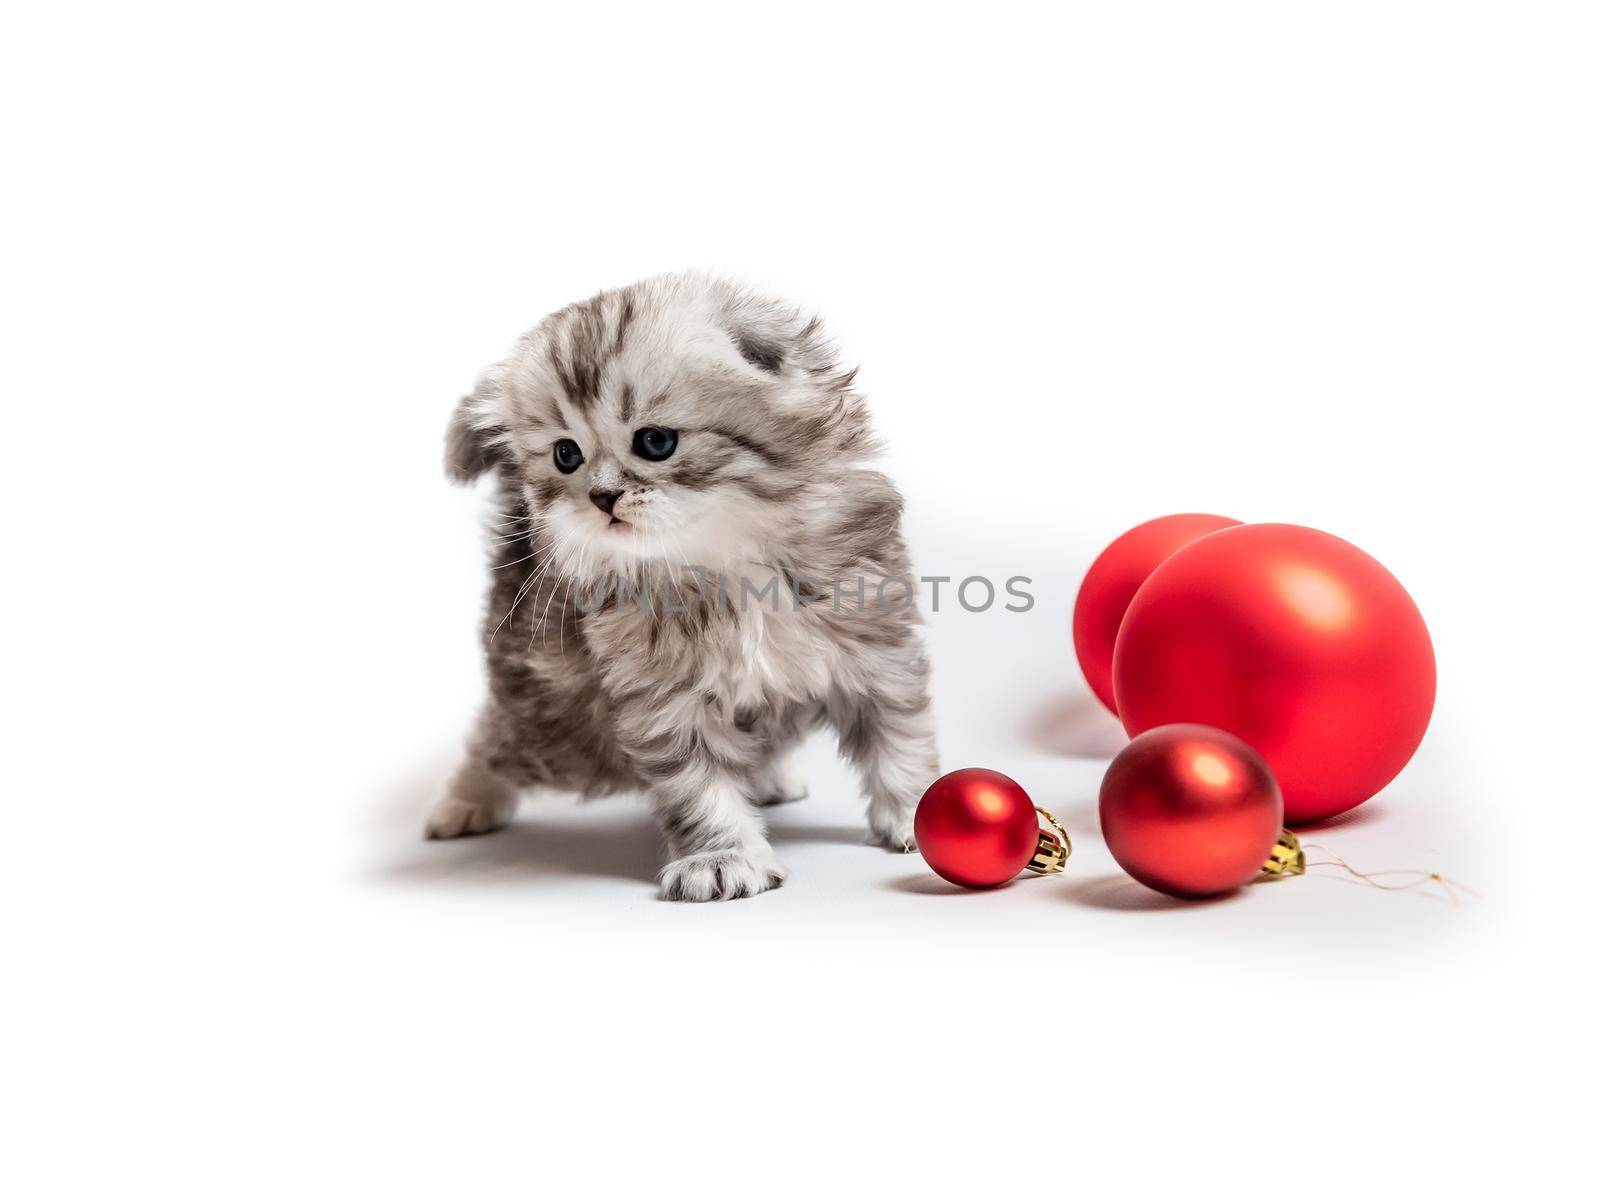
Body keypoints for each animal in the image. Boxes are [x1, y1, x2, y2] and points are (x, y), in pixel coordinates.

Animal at [432, 273, 940, 902]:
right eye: (566, 455)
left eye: (655, 442)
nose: (601, 497)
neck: (725, 564)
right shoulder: (662, 700)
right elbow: (699, 788)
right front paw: (723, 858)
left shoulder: (876, 652)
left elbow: (901, 744)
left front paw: (917, 813)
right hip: (553, 722)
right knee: (495, 740)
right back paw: (463, 804)